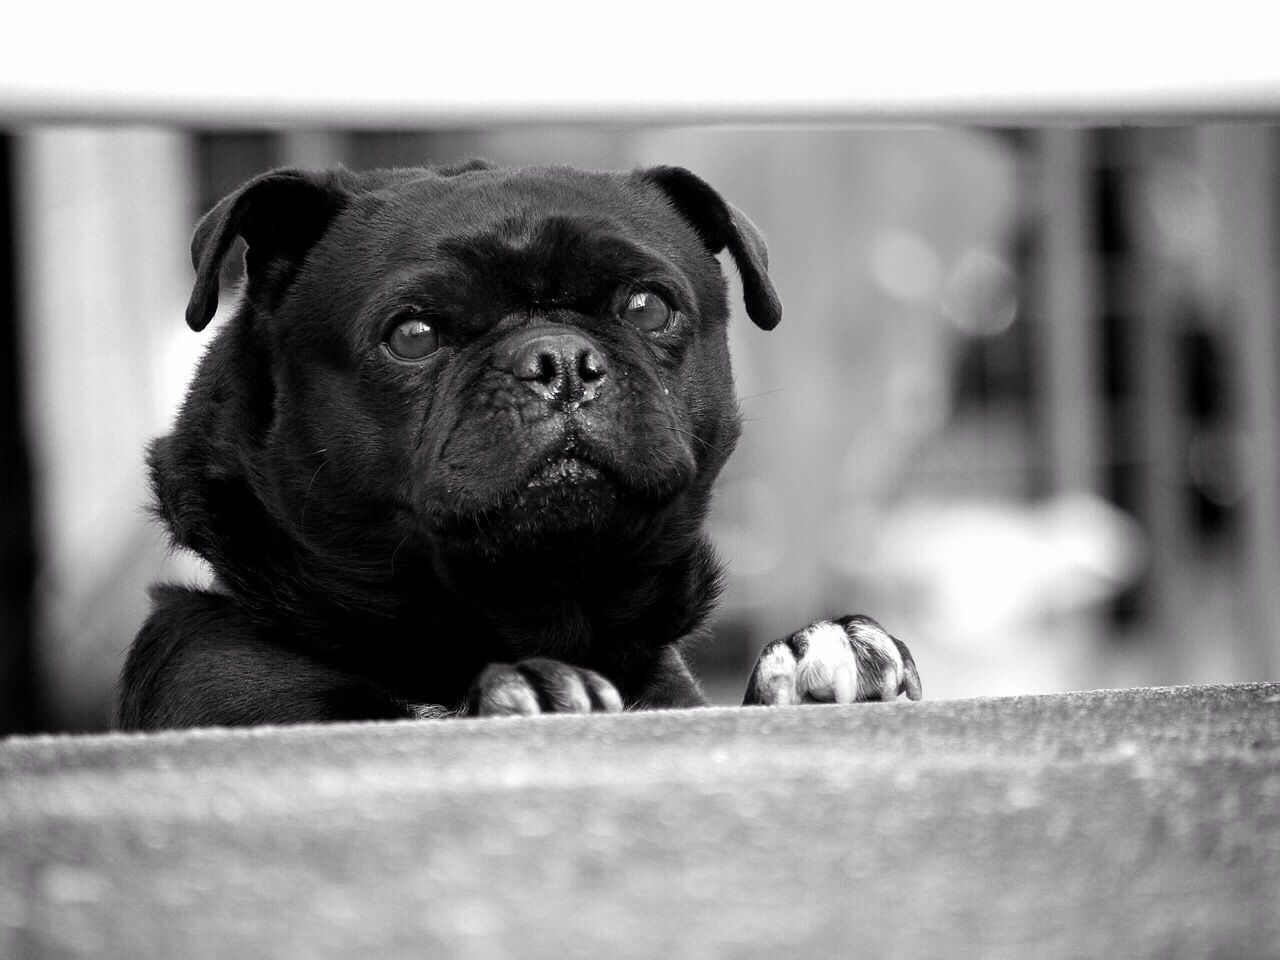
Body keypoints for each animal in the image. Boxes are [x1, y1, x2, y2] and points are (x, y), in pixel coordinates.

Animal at [117, 161, 921, 727]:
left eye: (646, 306)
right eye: (413, 334)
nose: (558, 360)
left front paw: (827, 653)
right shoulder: (227, 694)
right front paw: (530, 689)